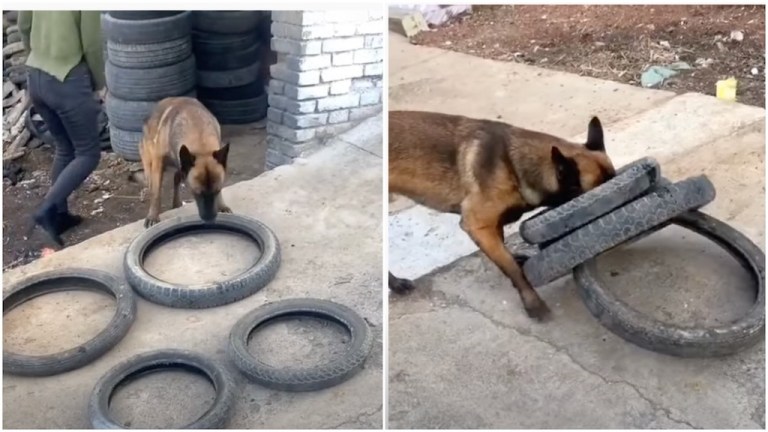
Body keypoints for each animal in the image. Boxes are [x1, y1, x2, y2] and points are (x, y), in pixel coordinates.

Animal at [140, 96, 231, 228]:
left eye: (217, 190)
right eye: (196, 193)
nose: (210, 219)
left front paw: (221, 205)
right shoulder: (159, 162)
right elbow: (156, 193)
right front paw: (153, 216)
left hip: (181, 164)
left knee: (176, 177)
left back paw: (176, 203)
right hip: (150, 159)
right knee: (151, 179)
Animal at [390, 110, 616, 320]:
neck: (512, 164)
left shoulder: (492, 225)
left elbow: (504, 251)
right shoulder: (478, 225)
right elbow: (512, 268)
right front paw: (532, 302)